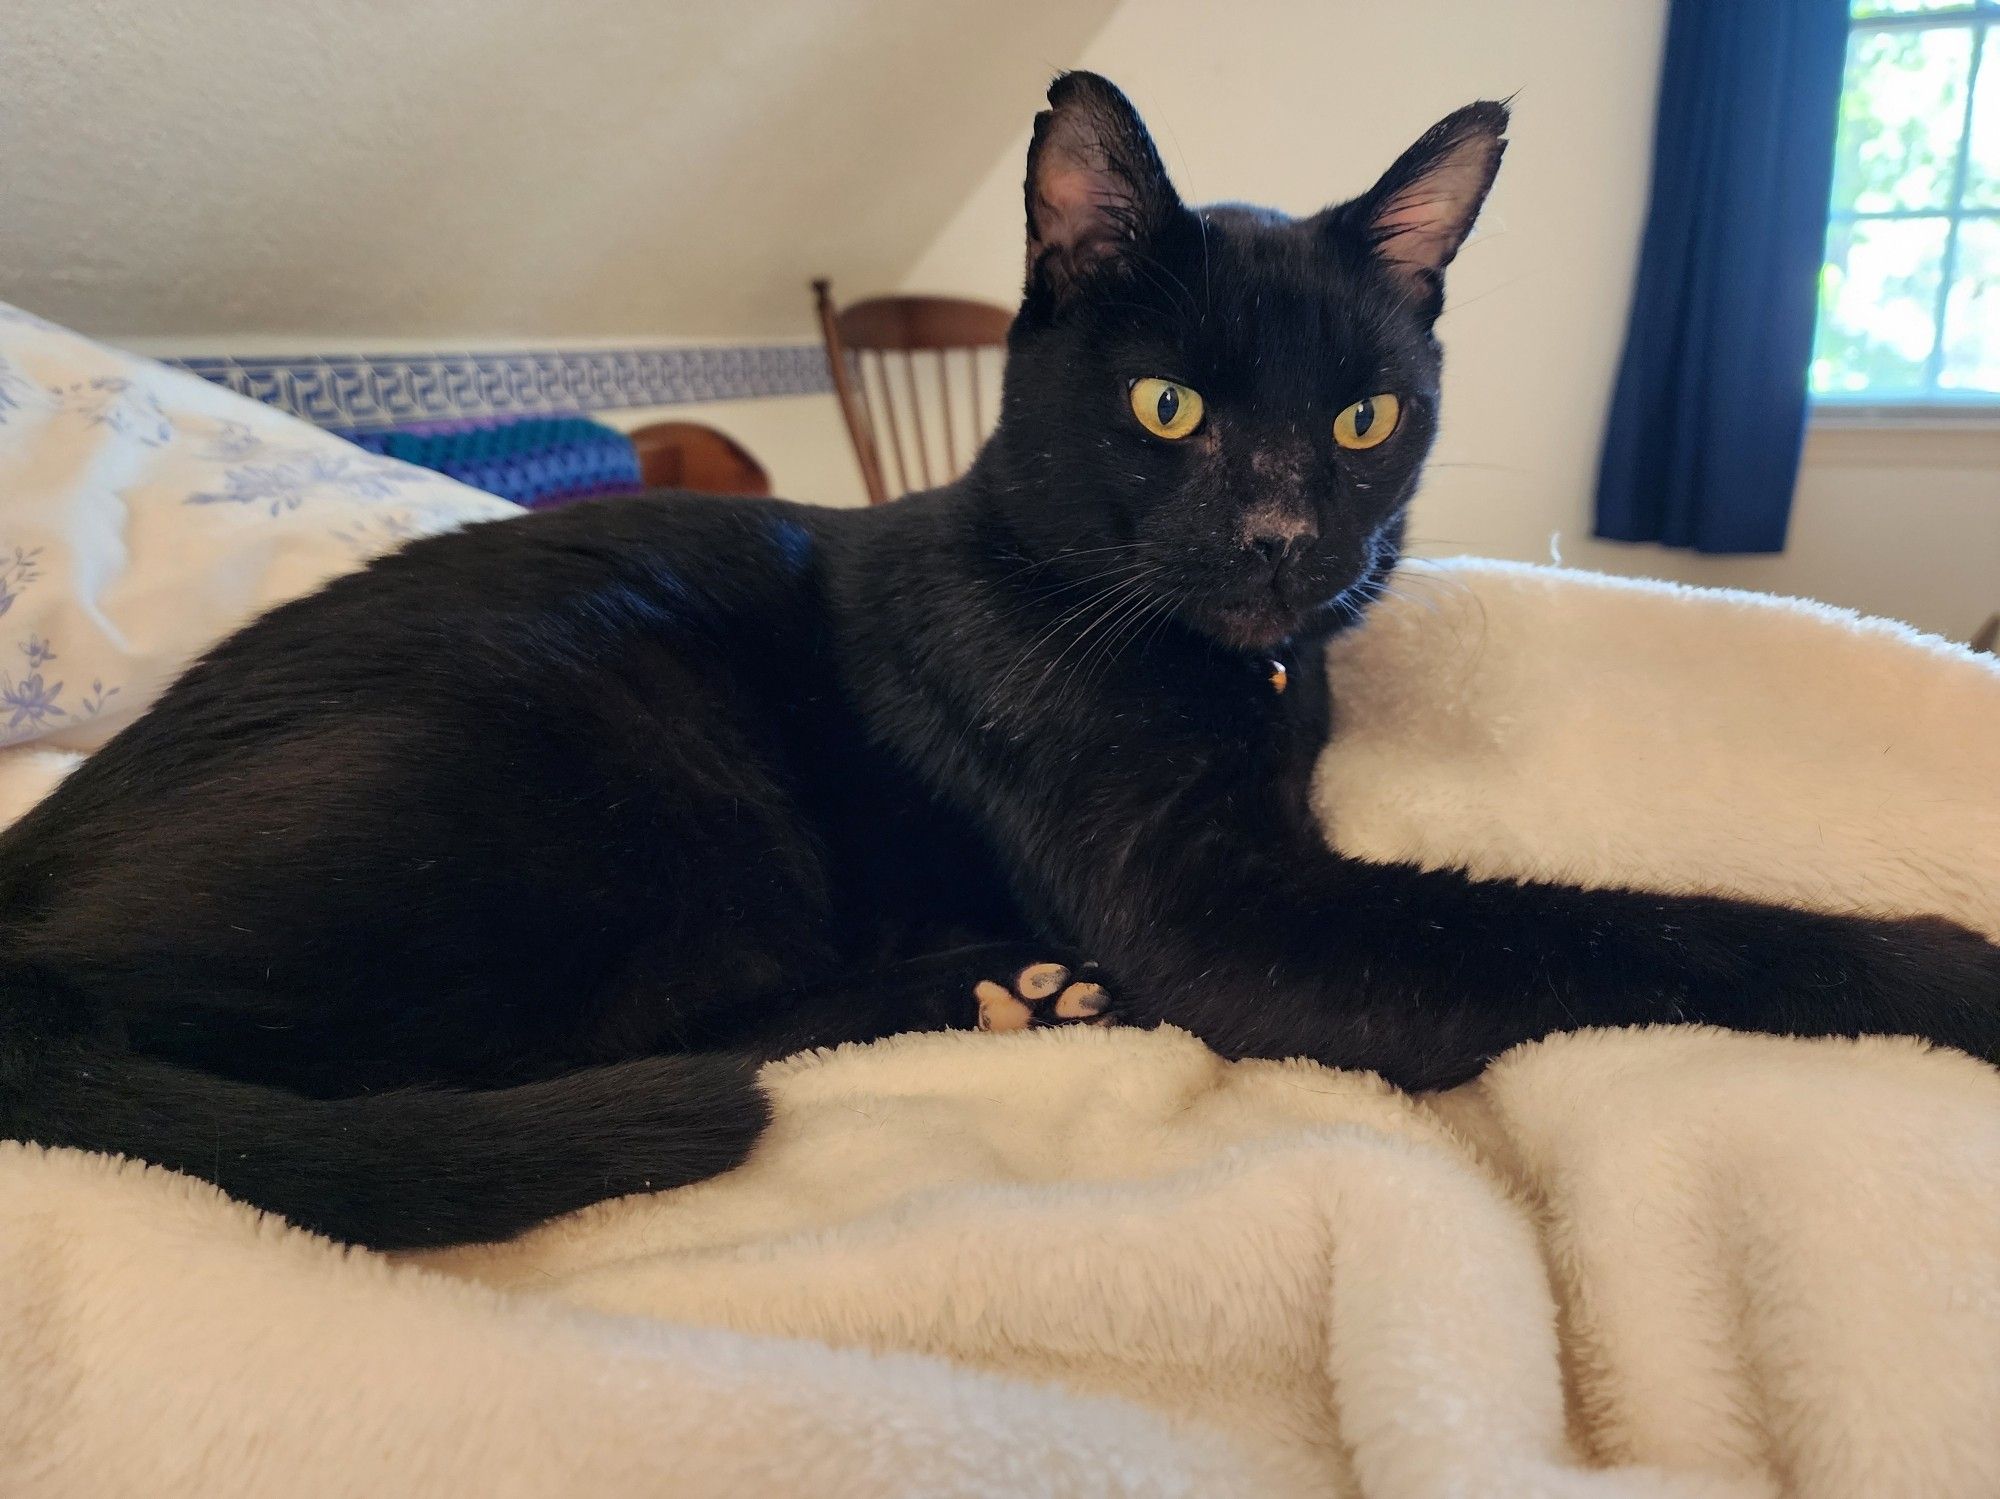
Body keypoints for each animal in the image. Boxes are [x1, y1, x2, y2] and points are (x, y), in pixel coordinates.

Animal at [3, 79, 2000, 1255]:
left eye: (1364, 419)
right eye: (1169, 405)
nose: (1286, 538)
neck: (1234, 679)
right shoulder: (1232, 917)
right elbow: (1621, 930)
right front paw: (1951, 969)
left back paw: (1003, 987)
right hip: (621, 752)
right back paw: (995, 988)